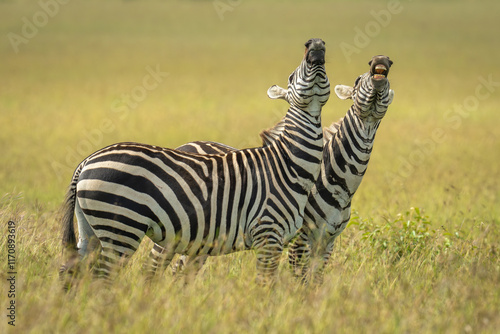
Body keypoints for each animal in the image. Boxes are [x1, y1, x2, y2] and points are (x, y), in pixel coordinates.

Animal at [58, 39, 330, 284]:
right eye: (291, 76)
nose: (315, 44)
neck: (288, 165)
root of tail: (87, 161)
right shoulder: (268, 234)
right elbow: (266, 285)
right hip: (122, 227)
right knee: (102, 277)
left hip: (91, 229)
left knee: (71, 271)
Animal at [172, 55, 394, 284]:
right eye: (358, 80)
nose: (380, 60)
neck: (340, 184)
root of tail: (186, 145)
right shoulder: (301, 239)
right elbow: (300, 280)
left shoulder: (327, 241)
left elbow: (315, 282)